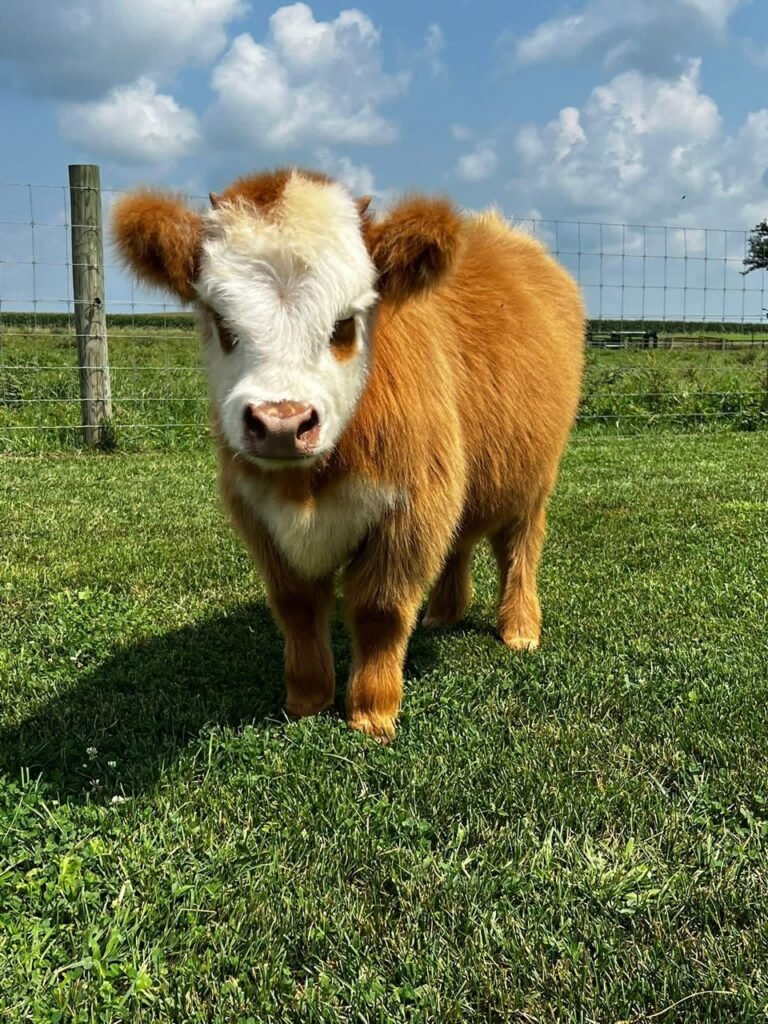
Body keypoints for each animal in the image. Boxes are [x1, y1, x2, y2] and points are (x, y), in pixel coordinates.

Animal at [113, 168, 585, 740]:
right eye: (221, 323)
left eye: (344, 324)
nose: (281, 423)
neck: (307, 488)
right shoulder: (261, 516)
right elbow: (296, 607)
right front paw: (306, 699)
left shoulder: (409, 510)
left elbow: (380, 610)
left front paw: (372, 713)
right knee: (461, 542)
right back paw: (445, 612)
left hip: (534, 480)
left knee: (519, 549)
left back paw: (518, 628)